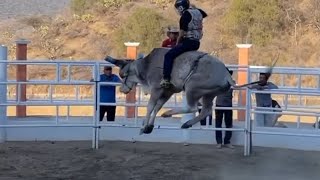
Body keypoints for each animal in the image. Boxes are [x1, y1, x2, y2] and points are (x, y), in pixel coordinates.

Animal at [105, 47, 278, 134]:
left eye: (122, 74)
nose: (122, 89)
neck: (146, 65)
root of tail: (226, 75)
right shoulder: (168, 91)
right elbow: (157, 106)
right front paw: (148, 126)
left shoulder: (156, 88)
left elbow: (150, 107)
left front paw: (143, 127)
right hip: (209, 94)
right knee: (205, 110)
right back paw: (187, 123)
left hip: (191, 87)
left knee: (192, 107)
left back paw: (170, 114)